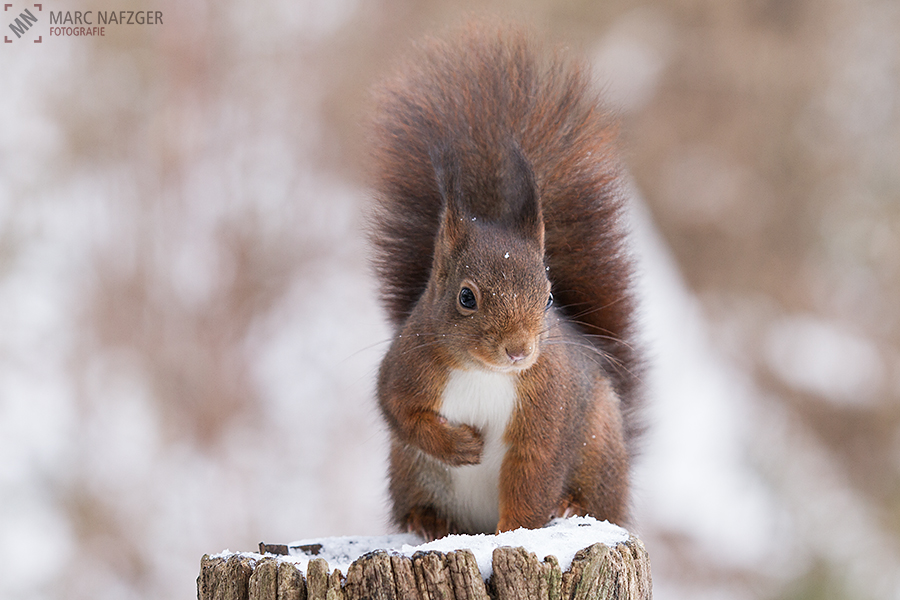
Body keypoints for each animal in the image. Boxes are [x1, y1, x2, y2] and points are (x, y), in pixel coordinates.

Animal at [366, 22, 640, 540]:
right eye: (465, 297)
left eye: (549, 297)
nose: (519, 350)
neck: (484, 373)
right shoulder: (407, 366)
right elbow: (400, 411)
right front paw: (460, 445)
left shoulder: (546, 412)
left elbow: (531, 476)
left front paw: (515, 531)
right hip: (407, 468)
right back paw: (427, 519)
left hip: (600, 441)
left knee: (600, 501)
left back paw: (571, 506)